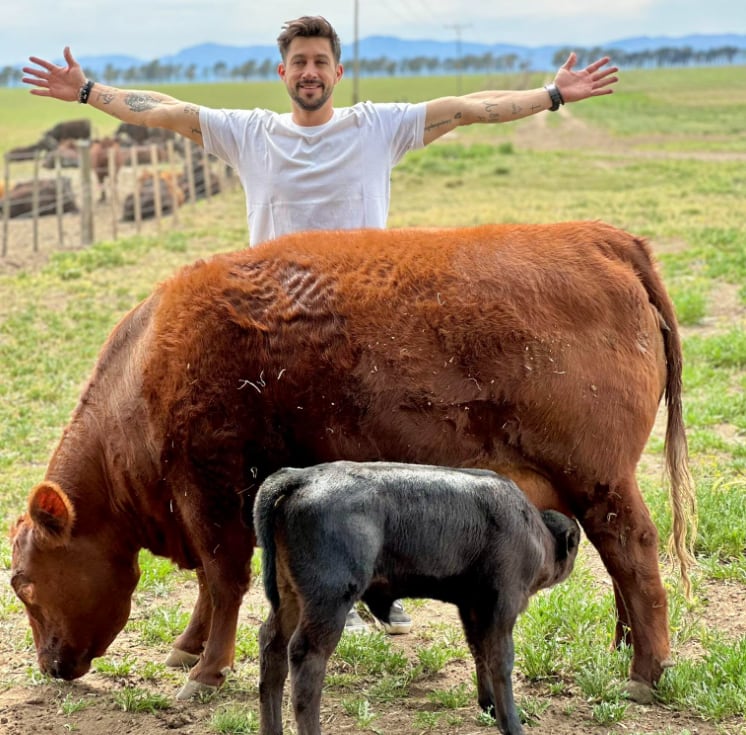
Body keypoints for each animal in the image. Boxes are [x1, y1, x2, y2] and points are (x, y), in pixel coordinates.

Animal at [9, 221, 696, 704]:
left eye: (23, 584)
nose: (50, 666)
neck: (148, 361)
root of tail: (603, 238)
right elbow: (210, 582)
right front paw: (188, 647)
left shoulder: (210, 488)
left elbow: (223, 578)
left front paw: (204, 671)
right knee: (618, 561)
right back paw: (627, 650)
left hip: (600, 480)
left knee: (634, 553)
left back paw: (645, 672)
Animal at [254, 461, 581, 735]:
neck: (535, 532)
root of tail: (303, 476)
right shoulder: (502, 605)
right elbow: (501, 660)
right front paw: (512, 723)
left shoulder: (473, 606)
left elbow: (479, 651)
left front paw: (488, 705)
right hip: (328, 603)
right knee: (305, 662)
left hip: (291, 597)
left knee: (272, 648)